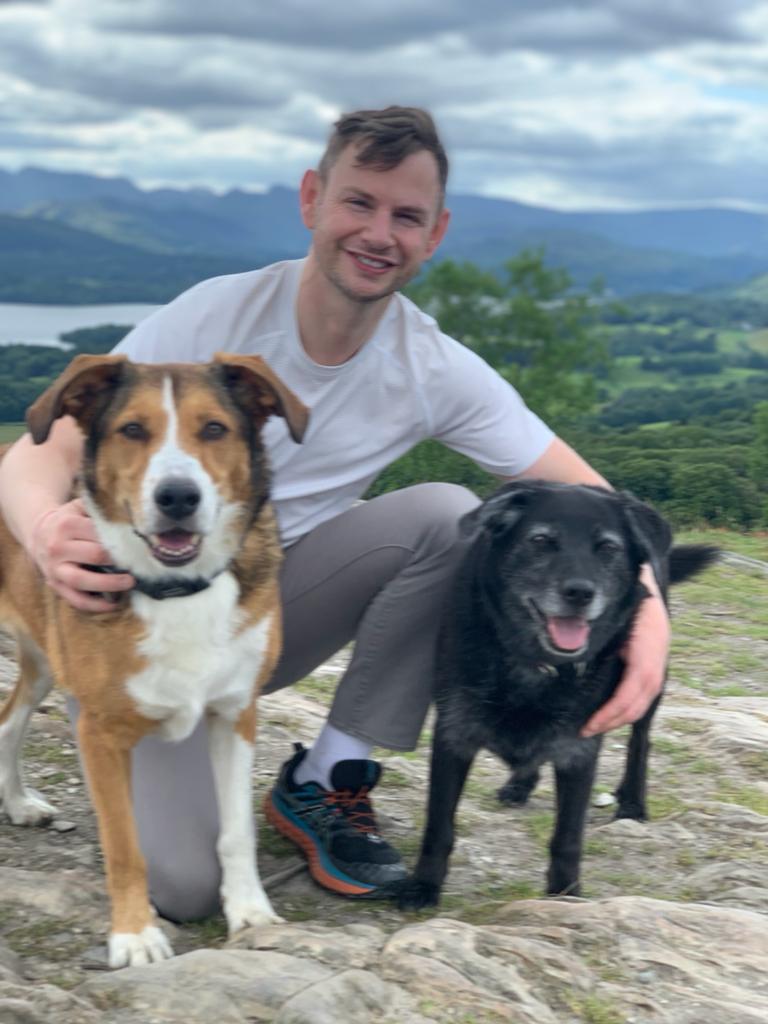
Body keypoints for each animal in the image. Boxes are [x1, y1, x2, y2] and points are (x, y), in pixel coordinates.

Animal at [0, 352, 309, 966]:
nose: (178, 497)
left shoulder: (234, 714)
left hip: (44, 661)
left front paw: (250, 911)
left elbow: (236, 831)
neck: (177, 589)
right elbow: (125, 844)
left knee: (9, 719)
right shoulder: (99, 733)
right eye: (132, 430)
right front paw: (135, 934)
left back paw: (19, 802)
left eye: (213, 428)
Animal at [399, 475, 720, 909]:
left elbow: (568, 836)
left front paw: (565, 897)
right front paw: (424, 885)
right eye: (541, 540)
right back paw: (520, 784)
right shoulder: (454, 733)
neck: (535, 666)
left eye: (608, 548)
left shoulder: (579, 749)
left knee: (640, 741)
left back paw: (633, 802)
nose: (580, 593)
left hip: (649, 682)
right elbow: (439, 824)